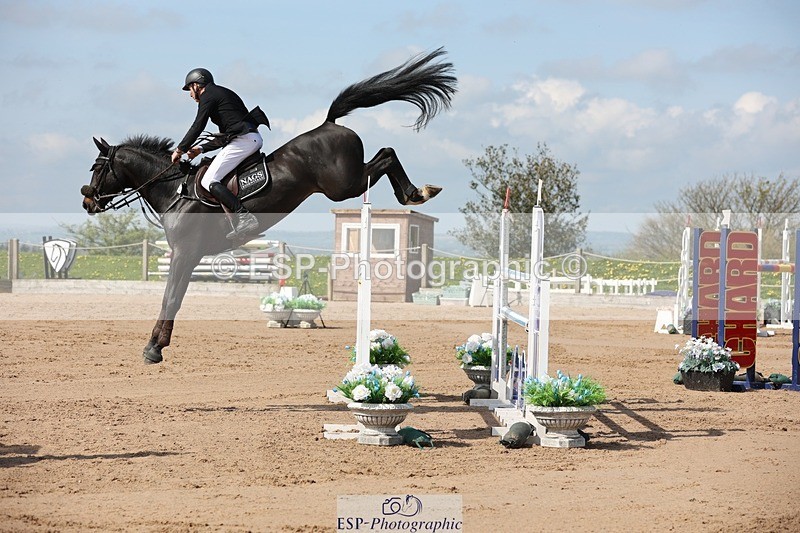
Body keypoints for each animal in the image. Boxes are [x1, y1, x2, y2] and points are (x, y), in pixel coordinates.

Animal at [81, 48, 457, 364]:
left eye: (97, 168)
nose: (87, 200)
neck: (174, 189)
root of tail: (329, 122)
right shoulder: (187, 256)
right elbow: (171, 298)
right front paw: (156, 345)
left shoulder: (185, 253)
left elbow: (170, 299)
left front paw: (154, 348)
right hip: (346, 183)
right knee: (385, 154)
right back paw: (416, 192)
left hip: (342, 187)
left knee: (386, 155)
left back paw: (416, 193)